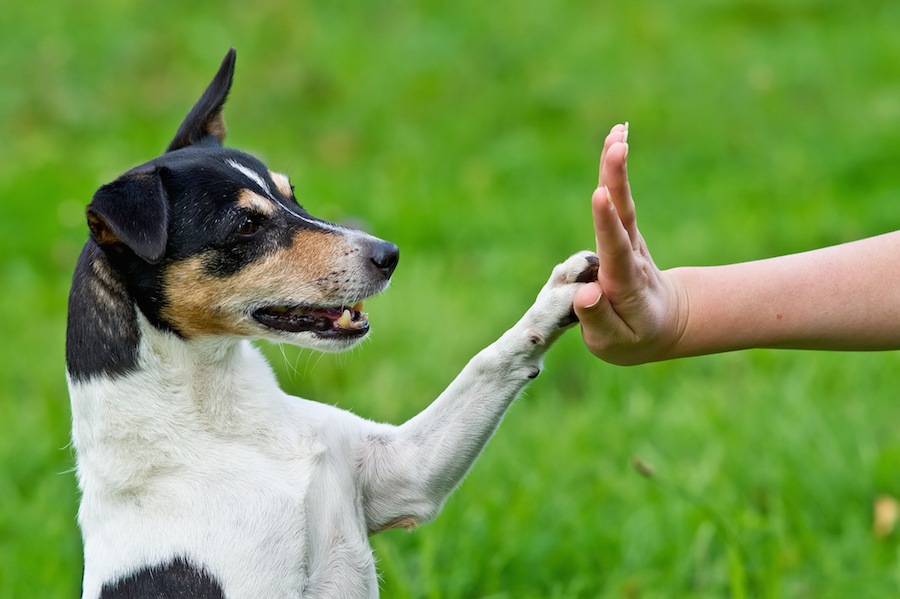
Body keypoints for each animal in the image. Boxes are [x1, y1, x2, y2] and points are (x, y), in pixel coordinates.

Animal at [65, 50, 596, 599]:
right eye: (246, 226)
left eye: (292, 195)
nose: (390, 254)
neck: (222, 422)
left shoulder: (405, 472)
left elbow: (488, 362)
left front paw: (561, 294)